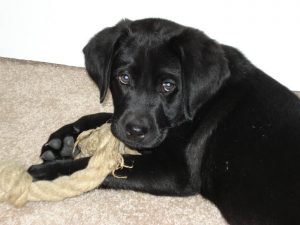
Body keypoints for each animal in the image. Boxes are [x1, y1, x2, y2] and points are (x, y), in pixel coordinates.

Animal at [28, 18, 300, 225]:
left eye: (168, 86)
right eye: (124, 78)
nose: (135, 131)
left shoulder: (175, 171)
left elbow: (103, 165)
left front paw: (46, 172)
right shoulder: (123, 119)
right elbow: (106, 118)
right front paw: (63, 139)